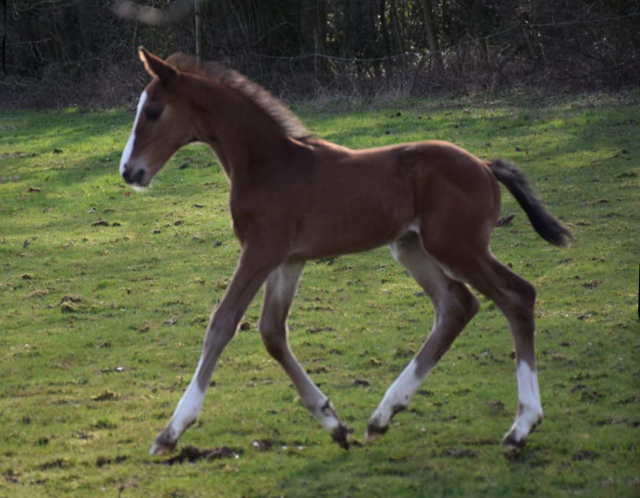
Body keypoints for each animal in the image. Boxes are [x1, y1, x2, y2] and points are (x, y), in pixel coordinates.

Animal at [119, 47, 568, 456]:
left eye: (154, 112)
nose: (128, 171)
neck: (268, 164)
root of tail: (485, 166)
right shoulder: (287, 260)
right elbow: (272, 332)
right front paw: (333, 423)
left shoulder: (260, 252)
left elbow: (222, 323)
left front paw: (171, 431)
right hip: (411, 248)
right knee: (457, 306)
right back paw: (383, 415)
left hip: (457, 247)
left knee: (516, 296)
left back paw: (521, 427)